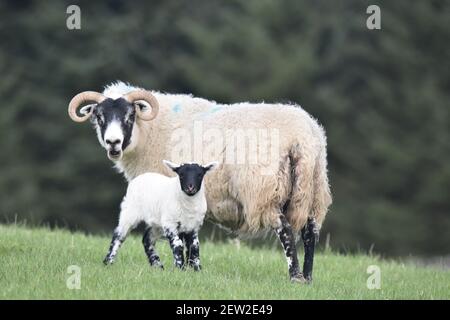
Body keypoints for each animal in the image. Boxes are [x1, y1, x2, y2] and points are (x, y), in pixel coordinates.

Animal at [68, 81, 332, 284]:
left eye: (129, 116)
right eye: (99, 117)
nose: (113, 143)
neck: (152, 131)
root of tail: (302, 137)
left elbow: (177, 238)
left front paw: (181, 267)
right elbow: (184, 238)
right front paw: (187, 268)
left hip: (264, 192)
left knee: (285, 230)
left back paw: (295, 276)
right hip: (314, 189)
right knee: (310, 232)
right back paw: (308, 278)